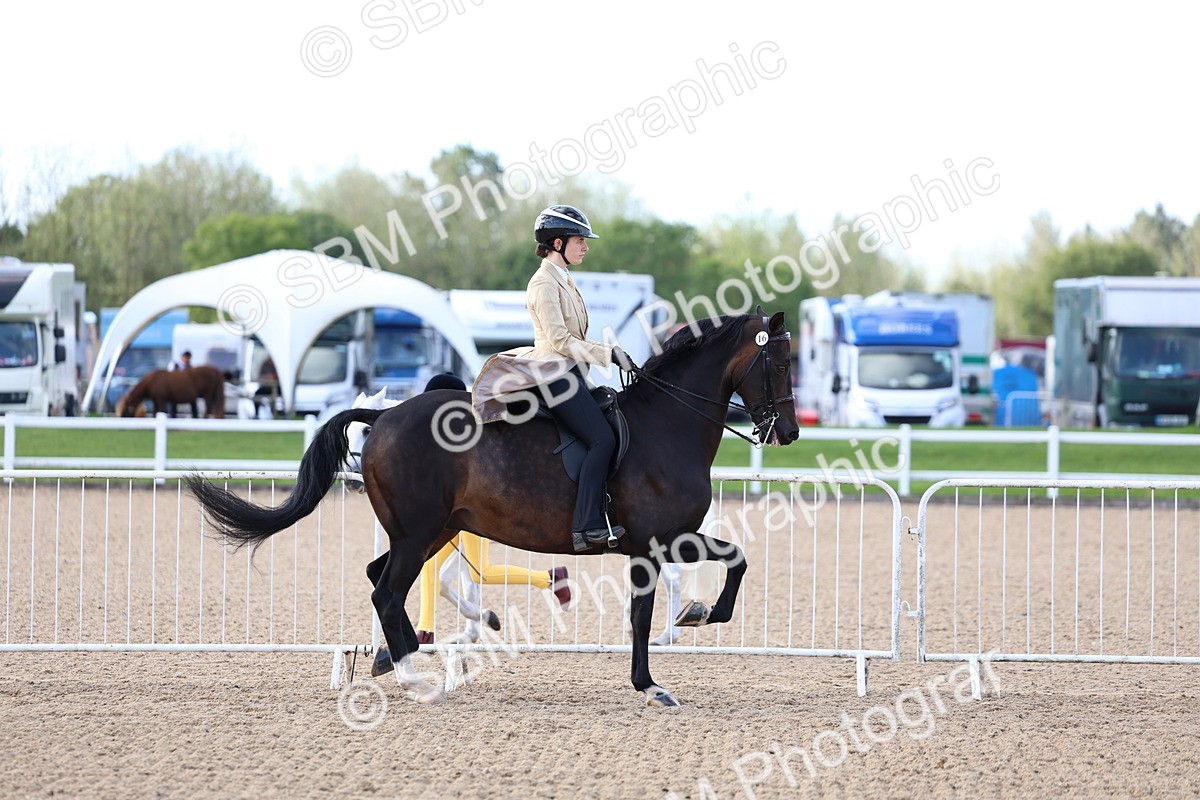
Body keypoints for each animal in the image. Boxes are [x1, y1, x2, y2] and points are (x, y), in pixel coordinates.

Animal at [187, 310, 799, 707]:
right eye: (779, 362)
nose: (789, 432)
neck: (666, 425)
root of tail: (383, 417)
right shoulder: (654, 542)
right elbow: (652, 610)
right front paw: (654, 678)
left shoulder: (667, 540)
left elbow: (728, 562)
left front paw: (696, 619)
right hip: (419, 534)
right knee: (386, 590)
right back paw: (414, 677)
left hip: (428, 532)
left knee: (379, 579)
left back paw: (399, 657)